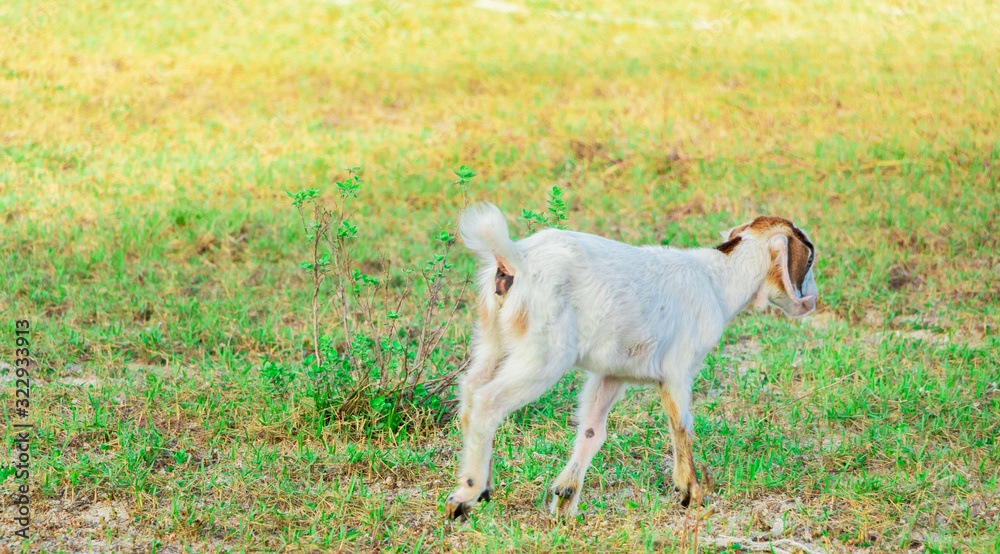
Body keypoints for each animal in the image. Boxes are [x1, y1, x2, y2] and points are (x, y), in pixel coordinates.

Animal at [445, 203, 818, 519]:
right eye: (809, 259)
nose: (812, 301)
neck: (718, 280)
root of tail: (516, 258)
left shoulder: (612, 373)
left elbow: (592, 430)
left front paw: (565, 500)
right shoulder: (678, 370)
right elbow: (681, 426)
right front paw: (691, 491)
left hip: (492, 339)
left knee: (469, 391)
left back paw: (473, 487)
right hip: (545, 354)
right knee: (487, 401)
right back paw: (467, 493)